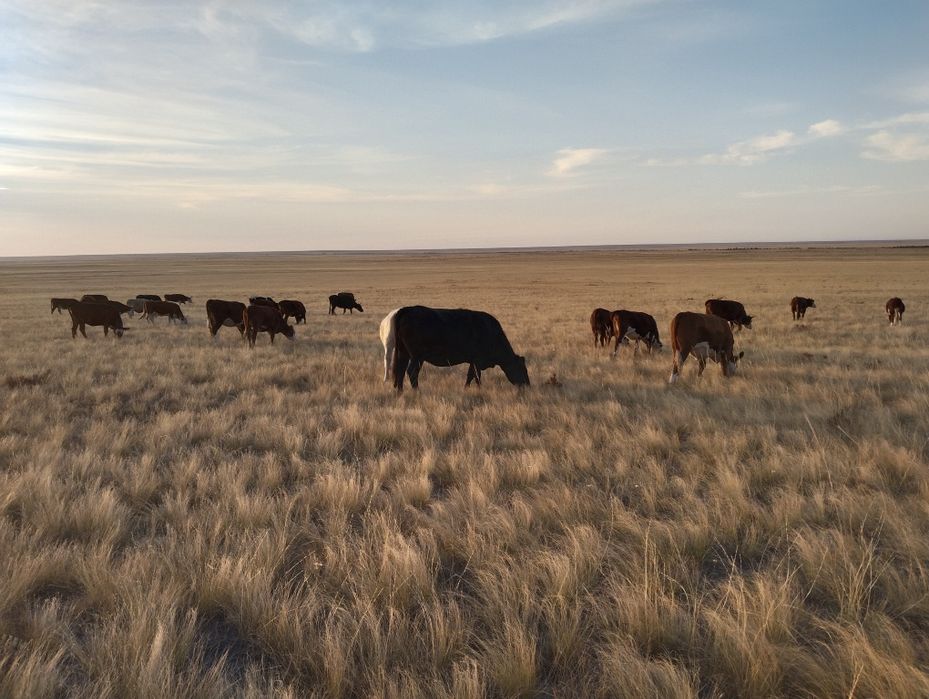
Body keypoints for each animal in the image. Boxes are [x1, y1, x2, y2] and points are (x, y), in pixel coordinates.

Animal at [387, 306, 529, 392]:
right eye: (522, 369)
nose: (527, 385)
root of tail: (407, 309)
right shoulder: (477, 361)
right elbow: (476, 377)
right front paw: (480, 390)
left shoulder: (473, 361)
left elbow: (469, 376)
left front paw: (466, 389)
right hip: (417, 356)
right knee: (411, 372)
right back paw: (417, 391)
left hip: (403, 353)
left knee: (400, 371)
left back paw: (400, 392)